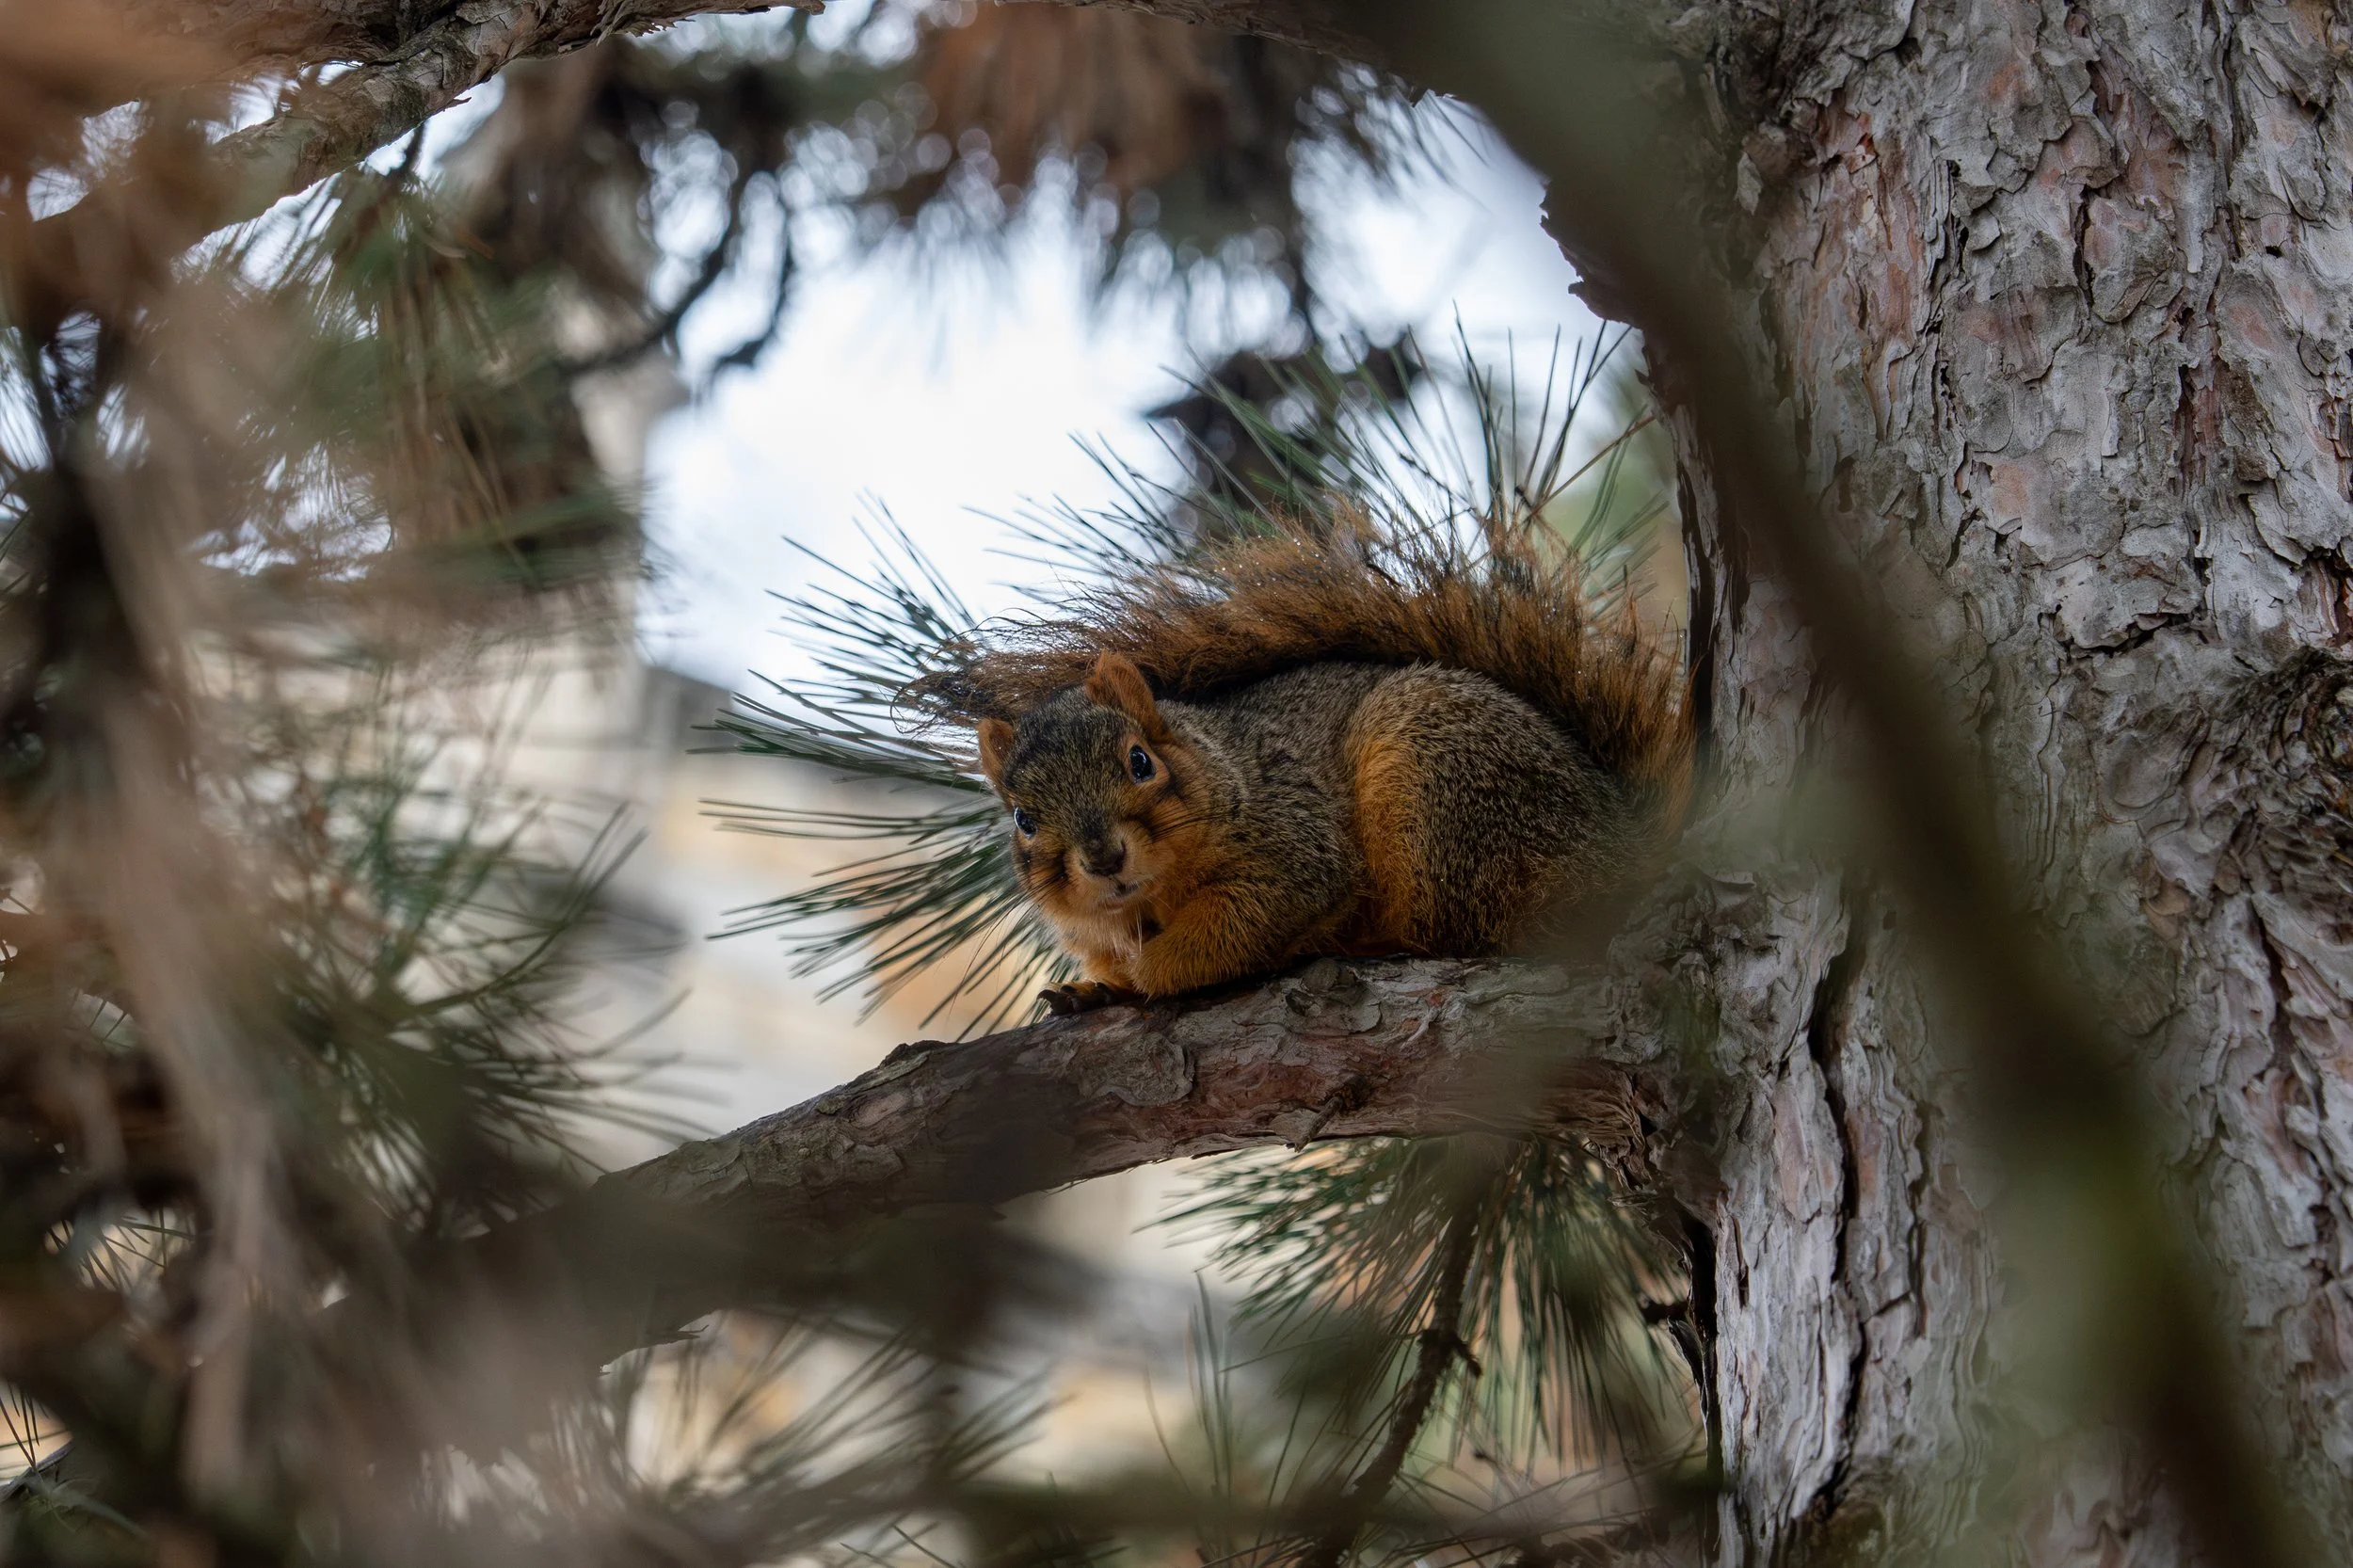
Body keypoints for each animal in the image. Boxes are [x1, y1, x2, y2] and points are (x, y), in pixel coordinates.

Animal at [918, 511, 1688, 1015]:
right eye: (1023, 819)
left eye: (1139, 762)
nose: (1104, 856)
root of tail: (1624, 847)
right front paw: (1094, 986)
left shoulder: (1296, 843)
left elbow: (1235, 927)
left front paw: (1140, 978)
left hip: (1440, 783)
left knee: (1470, 934)